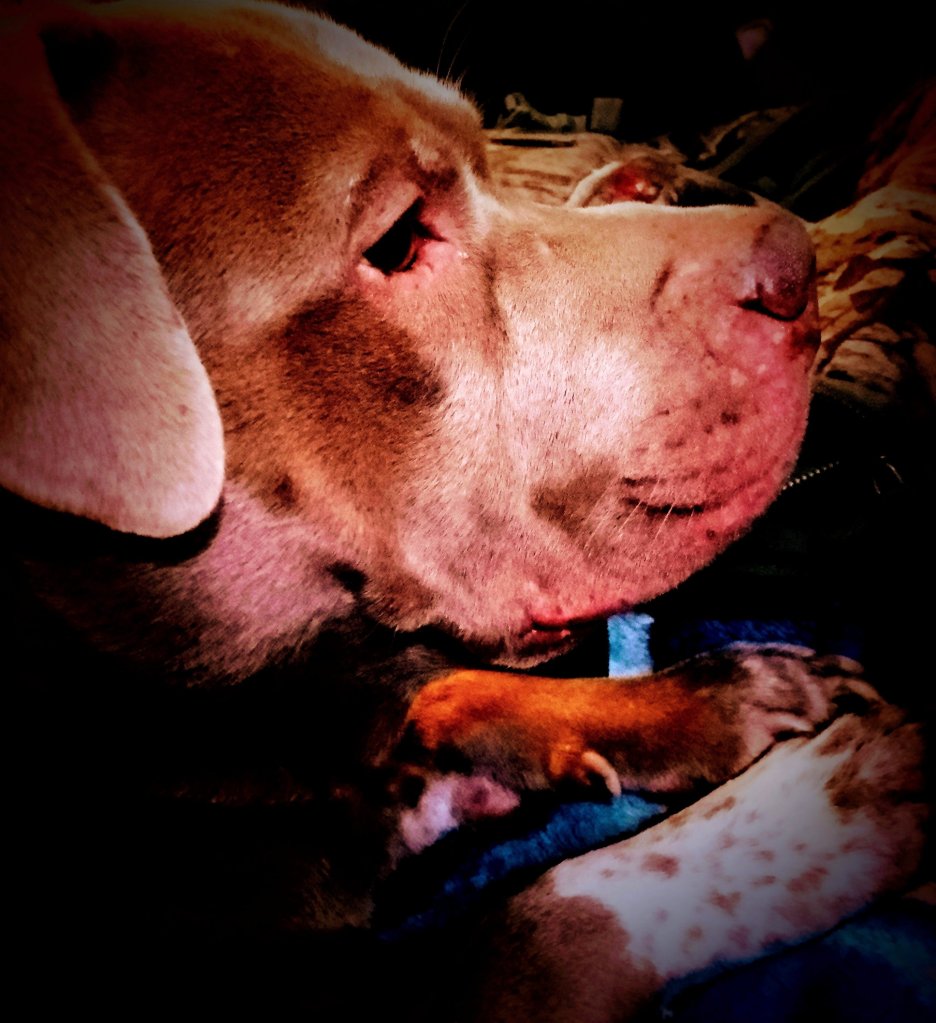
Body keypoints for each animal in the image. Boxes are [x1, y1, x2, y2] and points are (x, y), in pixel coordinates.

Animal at [2, 1, 926, 1017]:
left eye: (488, 156)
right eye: (399, 240)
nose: (796, 265)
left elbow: (452, 690)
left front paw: (707, 699)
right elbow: (543, 918)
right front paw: (824, 805)